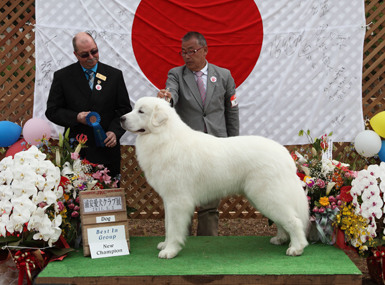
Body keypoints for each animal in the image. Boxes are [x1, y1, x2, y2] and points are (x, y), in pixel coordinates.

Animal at [120, 96, 308, 258]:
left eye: (141, 111)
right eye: (134, 109)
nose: (121, 118)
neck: (165, 137)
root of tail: (284, 153)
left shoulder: (177, 200)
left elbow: (173, 228)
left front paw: (170, 251)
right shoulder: (168, 199)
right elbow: (167, 226)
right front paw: (165, 245)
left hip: (266, 195)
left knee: (294, 220)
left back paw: (296, 248)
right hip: (263, 198)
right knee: (283, 219)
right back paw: (281, 239)